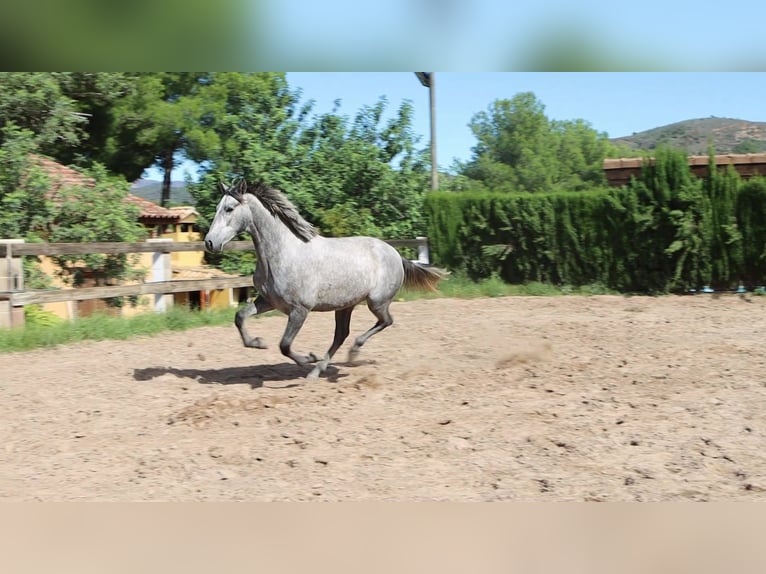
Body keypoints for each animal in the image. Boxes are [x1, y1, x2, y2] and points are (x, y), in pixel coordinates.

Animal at [204, 179, 450, 378]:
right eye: (217, 208)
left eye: (229, 208)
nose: (209, 242)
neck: (283, 254)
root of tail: (395, 254)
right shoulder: (268, 301)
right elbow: (240, 317)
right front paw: (258, 343)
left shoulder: (300, 310)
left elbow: (284, 345)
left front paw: (307, 358)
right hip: (345, 306)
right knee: (341, 334)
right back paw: (319, 369)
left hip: (377, 302)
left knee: (385, 322)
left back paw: (347, 354)